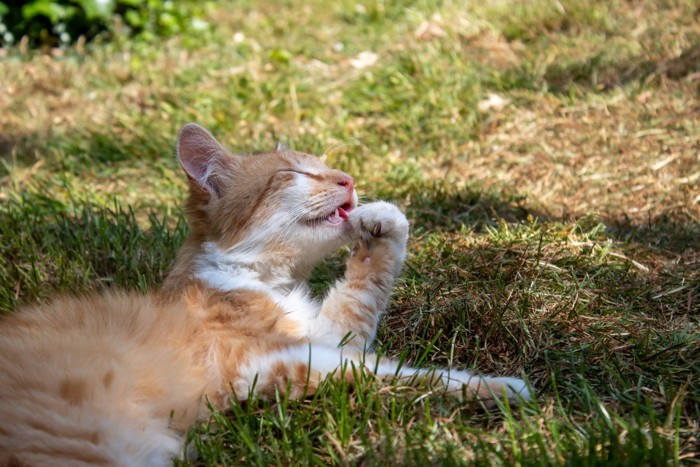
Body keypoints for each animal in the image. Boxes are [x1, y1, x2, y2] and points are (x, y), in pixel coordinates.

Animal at [0, 122, 532, 466]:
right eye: (295, 174)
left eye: (328, 169)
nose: (348, 181)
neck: (252, 279)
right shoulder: (263, 364)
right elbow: (399, 375)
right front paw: (500, 390)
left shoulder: (325, 336)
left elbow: (362, 296)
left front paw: (383, 222)